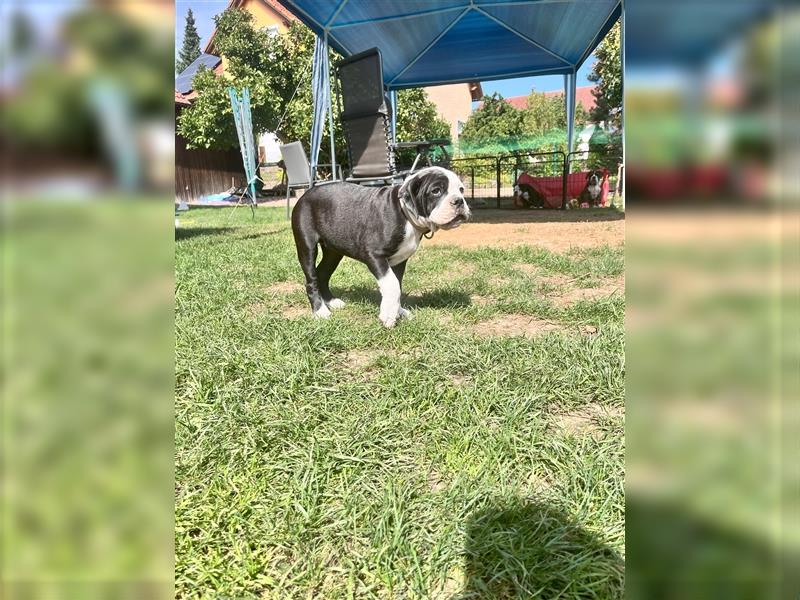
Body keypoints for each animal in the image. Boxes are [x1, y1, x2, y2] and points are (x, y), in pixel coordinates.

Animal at [292, 165, 468, 328]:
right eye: (436, 191)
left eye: (461, 190)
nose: (459, 200)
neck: (405, 214)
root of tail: (305, 194)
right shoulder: (375, 255)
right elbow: (392, 285)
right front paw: (388, 316)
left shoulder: (399, 261)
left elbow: (397, 285)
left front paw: (397, 311)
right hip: (307, 246)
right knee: (312, 279)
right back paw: (320, 310)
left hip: (333, 251)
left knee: (323, 273)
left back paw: (332, 301)